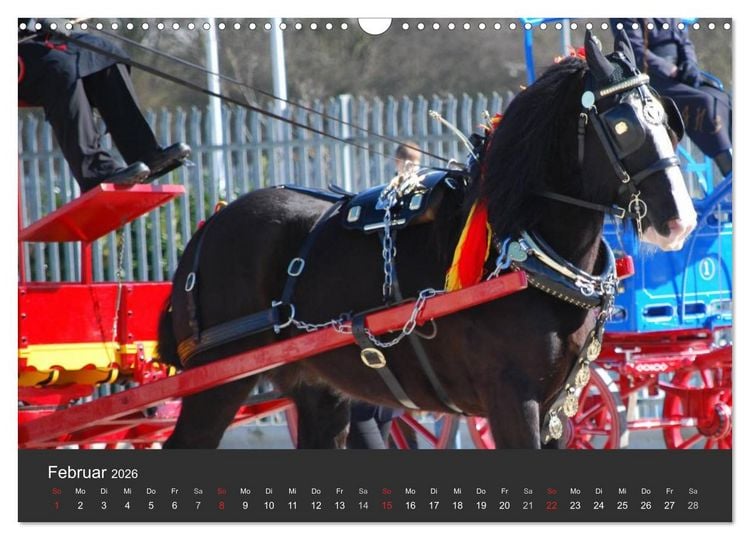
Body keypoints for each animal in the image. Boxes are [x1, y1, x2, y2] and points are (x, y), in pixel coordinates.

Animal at [156, 31, 696, 449]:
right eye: (622, 125)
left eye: (669, 119)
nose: (681, 221)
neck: (523, 251)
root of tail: (210, 225)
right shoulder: (512, 401)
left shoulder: (560, 408)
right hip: (218, 382)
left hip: (316, 388)